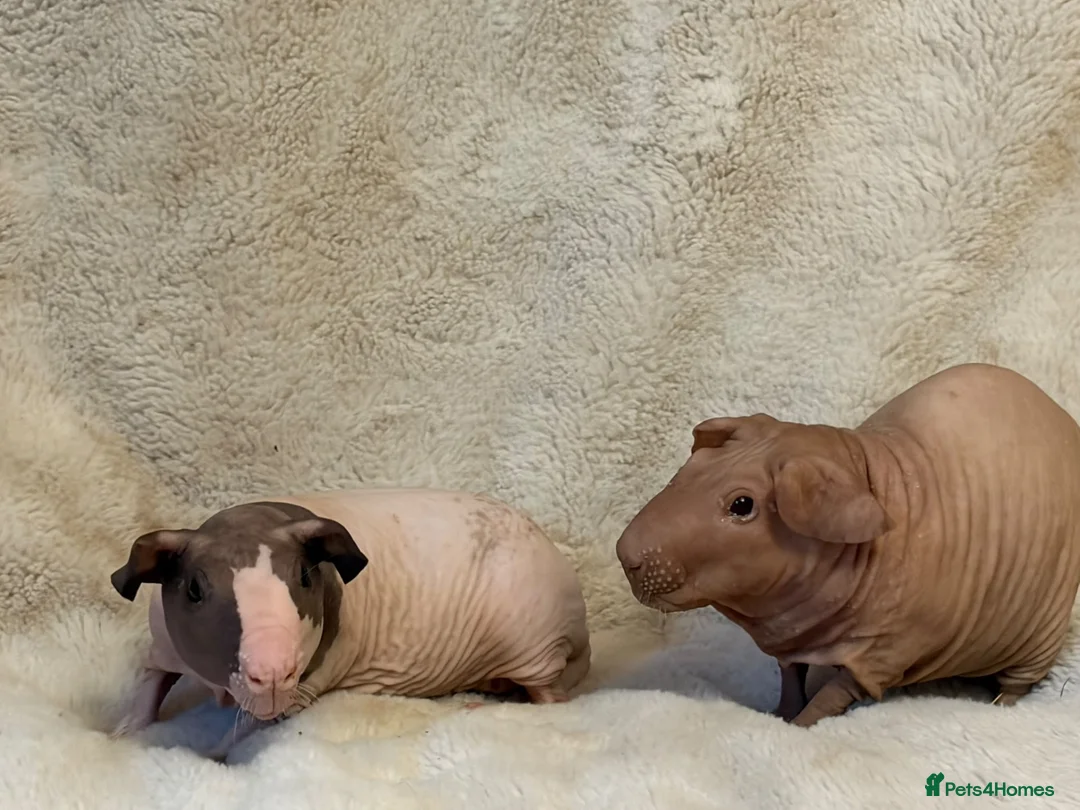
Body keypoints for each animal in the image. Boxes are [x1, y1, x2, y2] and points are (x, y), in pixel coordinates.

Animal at [108, 487, 591, 759]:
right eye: (193, 589)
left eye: (305, 578)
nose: (272, 673)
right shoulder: (163, 644)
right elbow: (150, 682)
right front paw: (124, 734)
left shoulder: (306, 684)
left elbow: (248, 728)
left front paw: (209, 754)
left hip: (534, 646)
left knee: (552, 700)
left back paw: (482, 706)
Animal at [615, 363, 1080, 727]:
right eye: (690, 468)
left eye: (742, 505)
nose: (625, 556)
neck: (868, 472)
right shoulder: (795, 641)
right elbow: (791, 675)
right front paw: (778, 712)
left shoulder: (884, 652)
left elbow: (833, 696)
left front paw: (798, 725)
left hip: (1042, 635)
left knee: (1019, 683)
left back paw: (1000, 705)